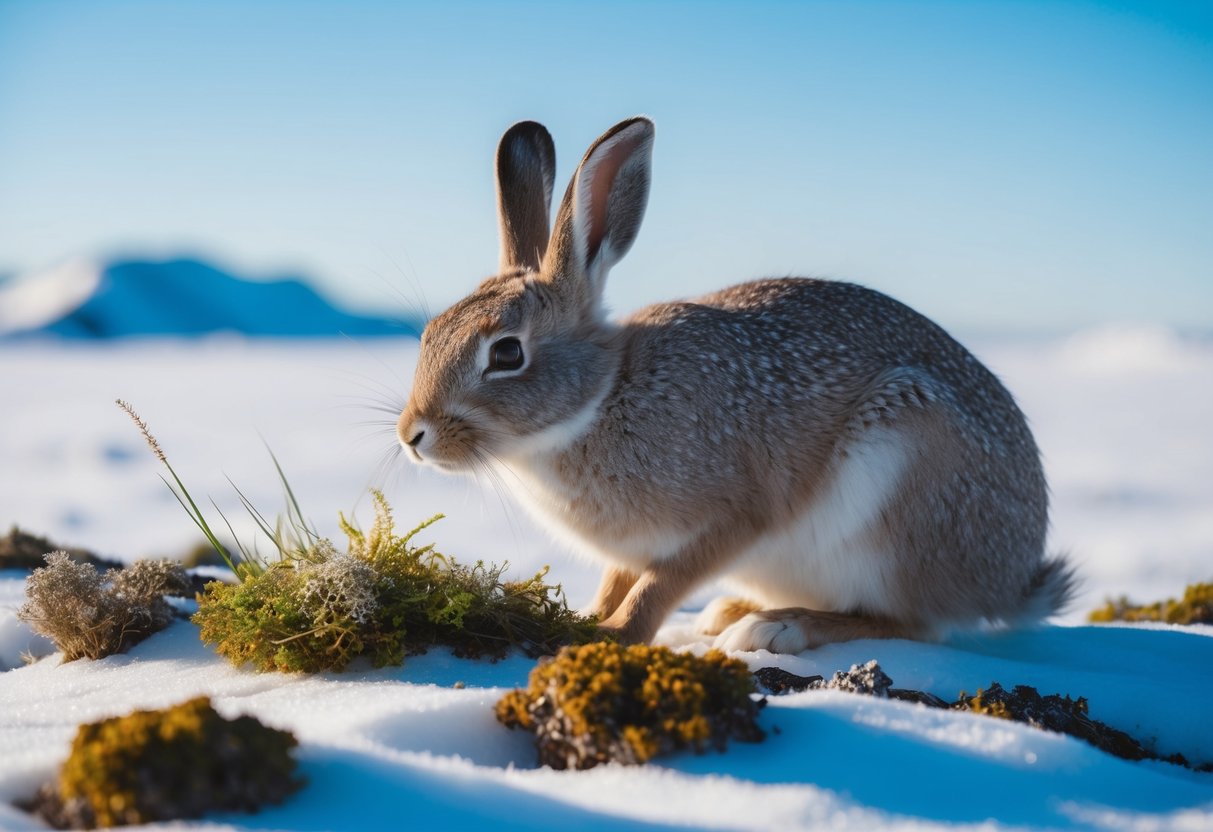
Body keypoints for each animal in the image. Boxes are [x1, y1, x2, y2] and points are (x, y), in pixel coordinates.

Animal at [397, 116, 1076, 653]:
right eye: (430, 332)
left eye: (507, 353)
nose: (412, 435)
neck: (600, 400)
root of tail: (1010, 578)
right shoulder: (632, 550)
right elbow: (621, 582)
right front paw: (589, 617)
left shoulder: (731, 516)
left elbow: (657, 588)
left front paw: (608, 635)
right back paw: (735, 611)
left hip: (901, 481)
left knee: (913, 621)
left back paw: (778, 627)